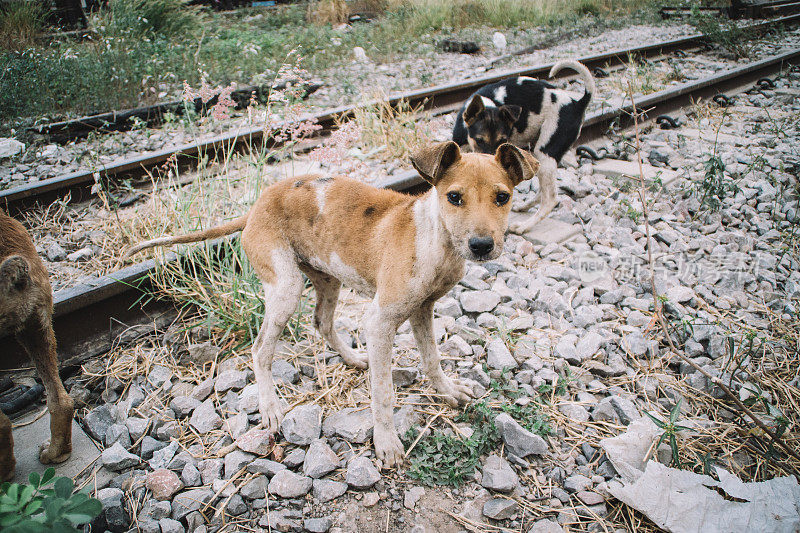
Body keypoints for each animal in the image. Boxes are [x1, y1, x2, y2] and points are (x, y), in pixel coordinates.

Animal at [128, 141, 540, 466]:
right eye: (454, 197)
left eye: (502, 197)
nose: (482, 246)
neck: (433, 238)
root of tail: (256, 206)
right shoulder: (381, 319)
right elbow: (382, 392)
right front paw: (386, 442)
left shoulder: (423, 310)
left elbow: (432, 360)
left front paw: (448, 391)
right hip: (286, 289)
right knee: (260, 350)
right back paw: (270, 407)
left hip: (328, 279)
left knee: (322, 323)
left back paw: (353, 358)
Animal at [454, 60, 592, 233]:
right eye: (479, 140)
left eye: (503, 140)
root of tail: (577, 104)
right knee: (542, 191)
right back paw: (524, 207)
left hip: (545, 152)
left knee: (550, 198)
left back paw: (524, 226)